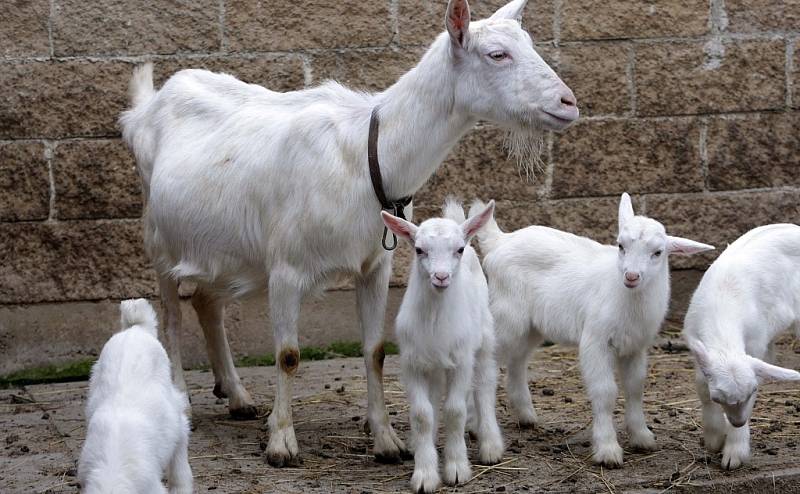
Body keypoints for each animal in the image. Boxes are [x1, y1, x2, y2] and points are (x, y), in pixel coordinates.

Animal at [119, 0, 580, 466]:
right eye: (497, 54)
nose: (569, 102)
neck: (367, 155)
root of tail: (147, 106)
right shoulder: (285, 268)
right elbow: (287, 355)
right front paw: (282, 442)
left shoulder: (375, 264)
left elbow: (375, 351)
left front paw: (387, 441)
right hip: (157, 238)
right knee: (172, 315)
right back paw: (181, 397)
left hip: (218, 246)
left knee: (207, 303)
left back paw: (237, 395)